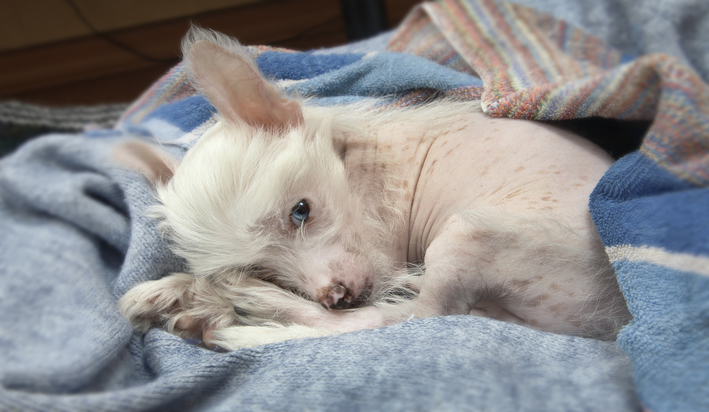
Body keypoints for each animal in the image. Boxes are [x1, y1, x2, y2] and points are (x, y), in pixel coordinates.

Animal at [116, 28, 632, 350]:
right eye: (262, 266)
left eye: (300, 211)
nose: (336, 294)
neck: (356, 167)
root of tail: (612, 321)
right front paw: (173, 289)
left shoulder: (380, 252)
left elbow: (368, 314)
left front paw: (202, 293)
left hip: (467, 234)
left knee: (402, 319)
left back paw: (235, 322)